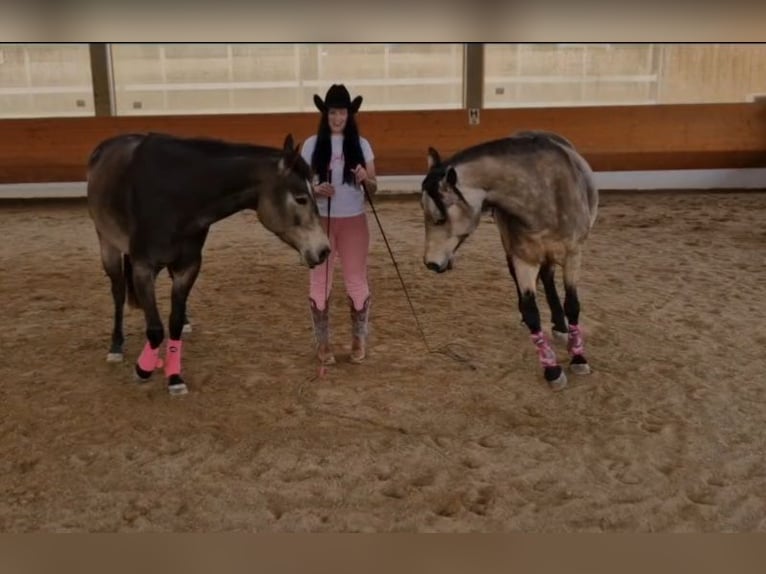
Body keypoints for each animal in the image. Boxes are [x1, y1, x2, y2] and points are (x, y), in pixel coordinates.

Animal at [86, 131, 331, 395]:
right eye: (300, 198)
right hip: (107, 244)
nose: (324, 250)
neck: (177, 194)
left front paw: (174, 376)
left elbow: (172, 323)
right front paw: (143, 369)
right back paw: (116, 345)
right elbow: (155, 329)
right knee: (118, 291)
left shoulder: (188, 267)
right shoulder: (143, 267)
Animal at [419, 130, 598, 391]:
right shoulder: (523, 258)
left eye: (440, 218)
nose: (431, 263)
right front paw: (552, 370)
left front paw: (578, 357)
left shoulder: (573, 255)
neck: (544, 195)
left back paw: (560, 325)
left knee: (548, 279)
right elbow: (531, 310)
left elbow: (573, 305)